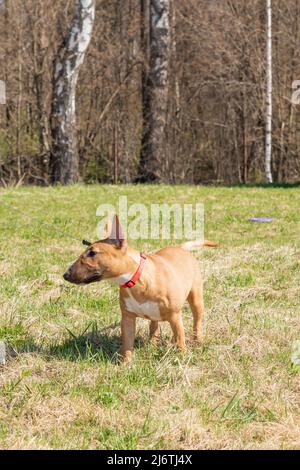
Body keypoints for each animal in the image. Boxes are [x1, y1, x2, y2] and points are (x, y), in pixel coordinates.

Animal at [63, 215, 218, 362]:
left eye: (92, 253)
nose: (66, 275)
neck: (136, 281)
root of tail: (181, 248)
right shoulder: (127, 318)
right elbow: (127, 344)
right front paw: (126, 363)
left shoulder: (175, 316)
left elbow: (180, 339)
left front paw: (182, 358)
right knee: (154, 326)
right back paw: (152, 344)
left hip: (196, 299)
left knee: (196, 322)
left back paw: (197, 342)